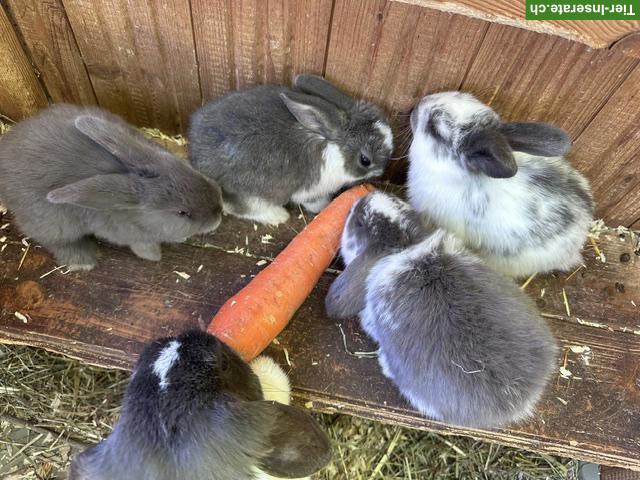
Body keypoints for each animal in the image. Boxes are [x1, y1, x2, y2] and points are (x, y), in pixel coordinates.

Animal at [0, 104, 223, 271]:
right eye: (182, 213)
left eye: (186, 168)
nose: (218, 212)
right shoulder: (132, 236)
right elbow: (144, 247)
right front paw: (154, 257)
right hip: (52, 223)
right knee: (57, 241)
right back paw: (83, 262)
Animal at [188, 74, 393, 225]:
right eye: (365, 160)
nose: (381, 171)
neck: (332, 144)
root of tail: (195, 156)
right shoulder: (311, 190)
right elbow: (313, 201)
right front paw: (324, 206)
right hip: (250, 192)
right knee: (238, 207)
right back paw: (278, 216)